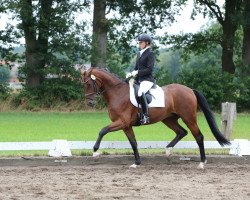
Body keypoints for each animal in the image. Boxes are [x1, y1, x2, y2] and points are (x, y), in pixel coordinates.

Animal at [81, 67, 230, 169]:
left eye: (88, 84)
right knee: (182, 132)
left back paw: (202, 162)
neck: (117, 93)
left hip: (189, 118)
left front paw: (95, 153)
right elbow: (133, 142)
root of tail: (189, 90)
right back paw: (168, 151)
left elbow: (102, 131)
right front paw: (136, 163)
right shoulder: (126, 125)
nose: (90, 103)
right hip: (168, 119)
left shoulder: (122, 122)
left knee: (198, 136)